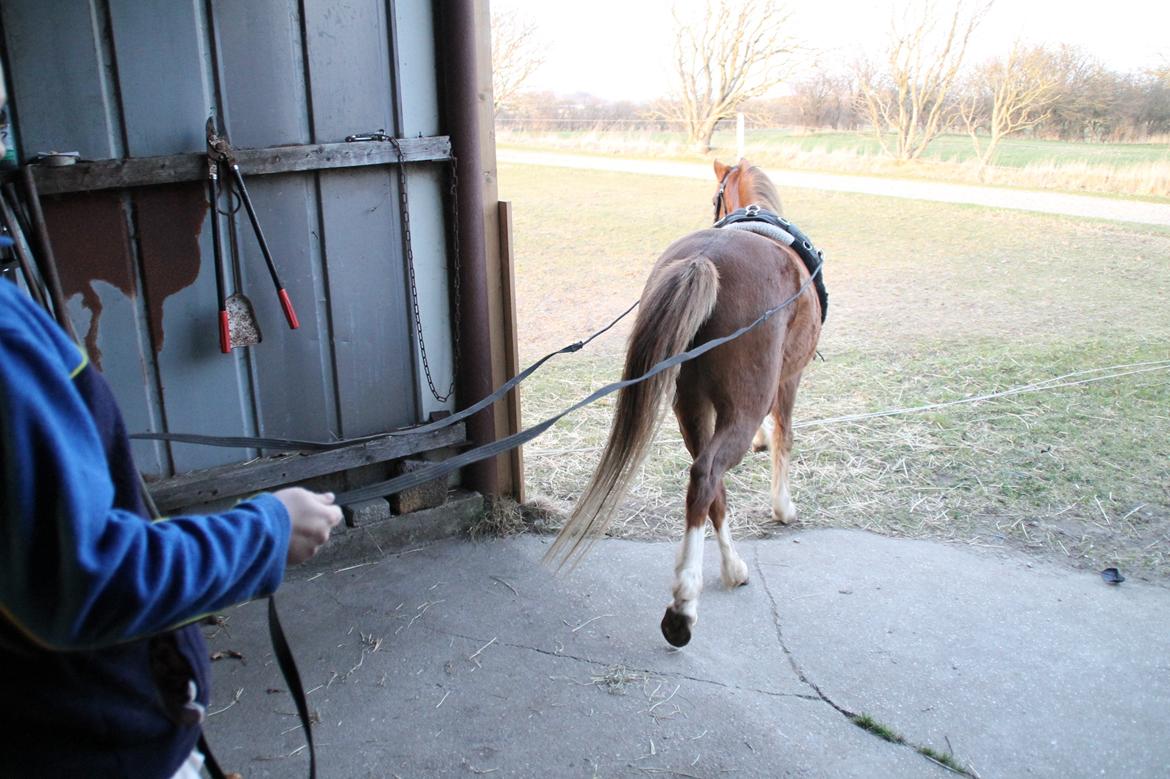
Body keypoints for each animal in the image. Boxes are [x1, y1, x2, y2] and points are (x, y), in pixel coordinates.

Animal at [544, 159, 824, 648]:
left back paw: (731, 569)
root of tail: (705, 259)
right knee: (709, 474)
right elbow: (786, 437)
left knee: (707, 485)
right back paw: (684, 604)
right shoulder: (790, 379)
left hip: (690, 407)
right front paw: (783, 507)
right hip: (740, 404)